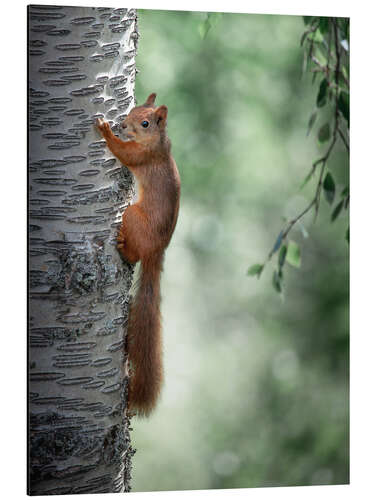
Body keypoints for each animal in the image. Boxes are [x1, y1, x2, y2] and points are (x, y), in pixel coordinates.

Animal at [96, 94, 180, 418]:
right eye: (132, 110)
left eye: (145, 123)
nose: (122, 124)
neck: (158, 143)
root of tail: (157, 250)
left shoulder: (141, 157)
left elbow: (124, 154)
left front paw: (107, 132)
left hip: (132, 216)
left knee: (132, 253)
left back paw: (123, 246)